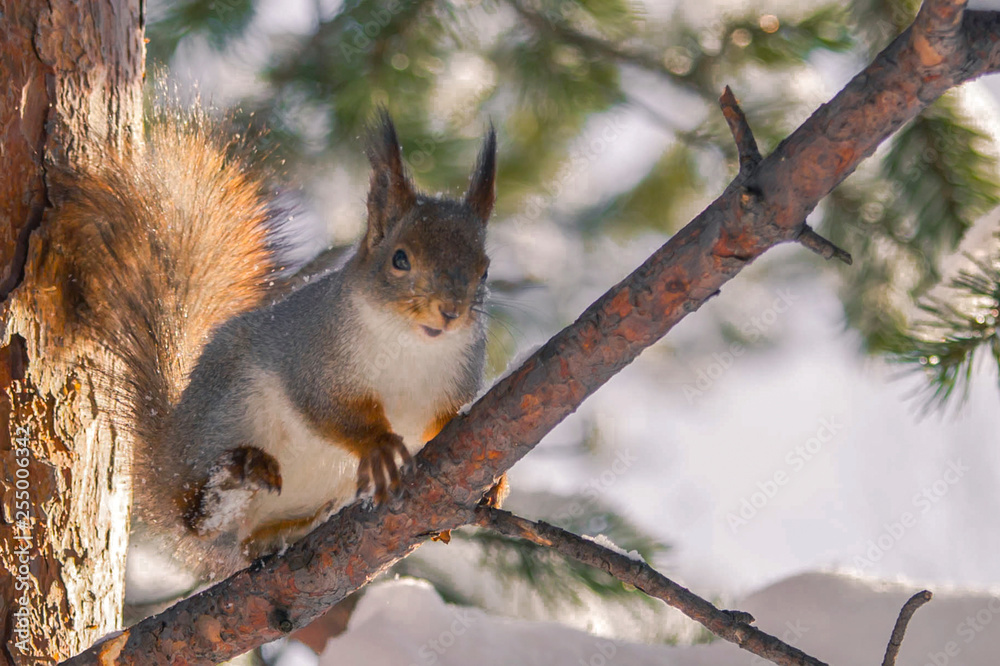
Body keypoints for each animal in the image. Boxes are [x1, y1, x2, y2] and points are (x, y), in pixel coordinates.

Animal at [33, 109, 508, 580]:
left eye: (485, 270)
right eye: (400, 259)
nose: (449, 311)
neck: (412, 348)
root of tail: (165, 463)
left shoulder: (450, 388)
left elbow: (445, 422)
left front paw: (494, 482)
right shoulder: (312, 357)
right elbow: (326, 409)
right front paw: (376, 445)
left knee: (244, 542)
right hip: (229, 415)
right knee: (196, 517)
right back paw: (229, 483)